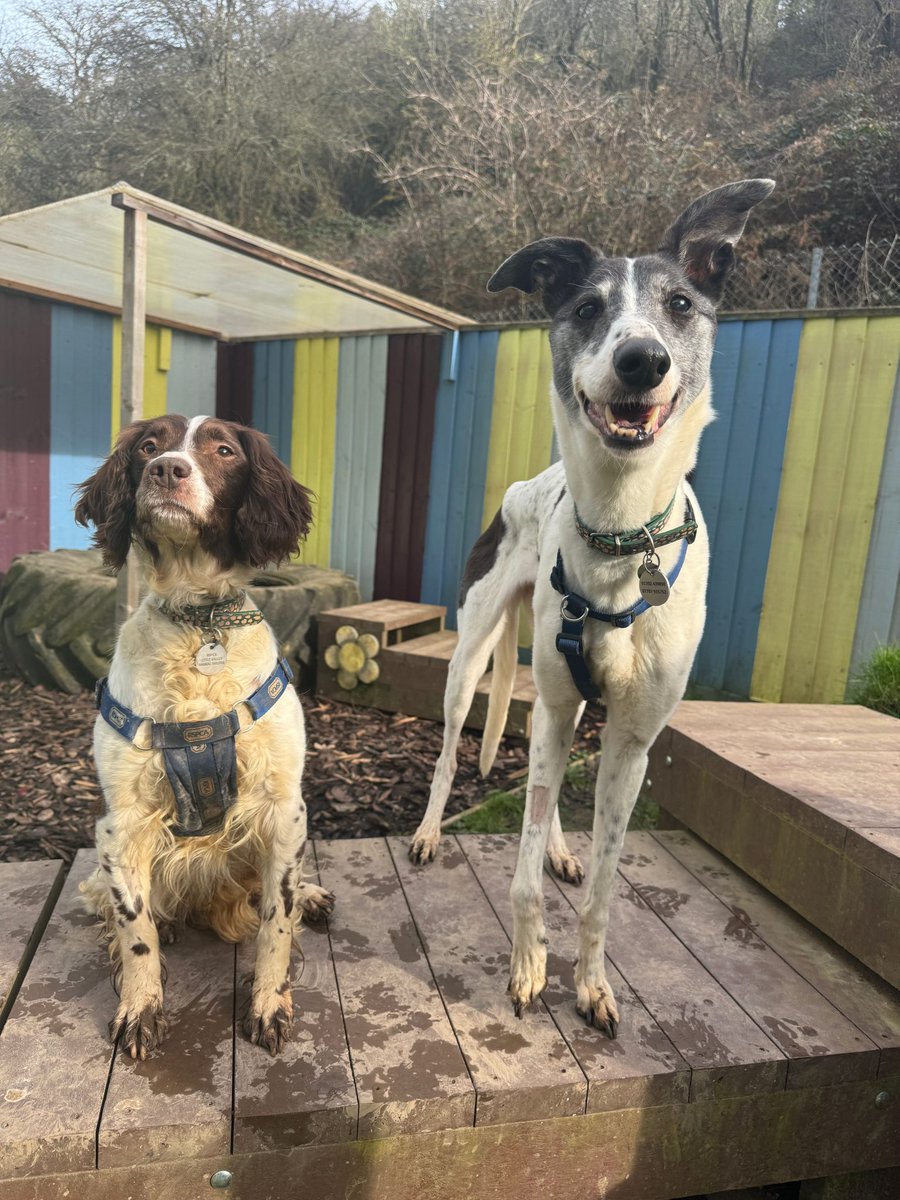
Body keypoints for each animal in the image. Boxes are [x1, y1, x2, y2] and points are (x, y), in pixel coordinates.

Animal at [410, 180, 777, 1041]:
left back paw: (559, 850)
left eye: (680, 304)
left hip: (570, 707)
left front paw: (591, 983)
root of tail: (522, 486)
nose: (642, 360)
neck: (618, 530)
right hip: (472, 661)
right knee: (449, 756)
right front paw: (527, 970)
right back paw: (430, 832)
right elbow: (519, 880)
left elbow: (606, 888)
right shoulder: (548, 705)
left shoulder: (632, 739)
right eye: (585, 308)